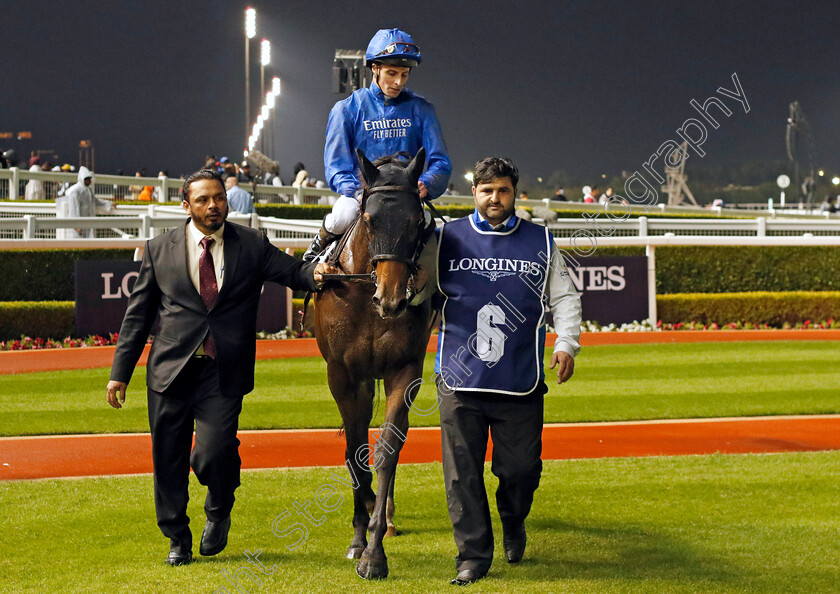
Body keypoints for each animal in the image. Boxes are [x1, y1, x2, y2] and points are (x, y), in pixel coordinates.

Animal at [314, 148, 434, 580]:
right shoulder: (343, 375)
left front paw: (374, 551)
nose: (393, 298)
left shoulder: (405, 370)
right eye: (369, 219)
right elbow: (354, 452)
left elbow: (386, 449)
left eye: (417, 222)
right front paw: (357, 536)